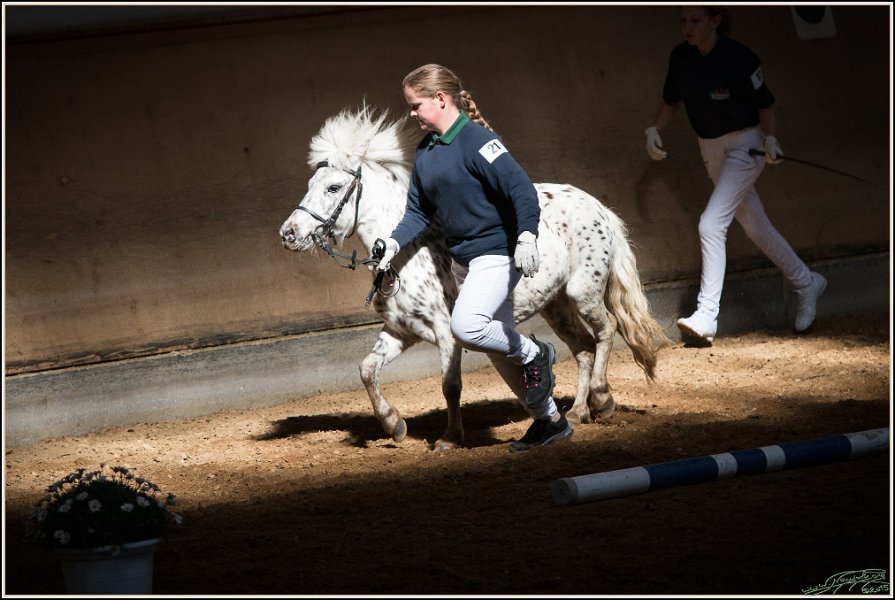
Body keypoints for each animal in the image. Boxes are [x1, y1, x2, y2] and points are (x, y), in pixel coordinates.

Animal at [279, 106, 669, 450]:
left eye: (333, 188)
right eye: (311, 183)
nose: (288, 233)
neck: (409, 252)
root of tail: (599, 207)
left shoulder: (446, 334)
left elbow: (450, 386)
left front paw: (450, 438)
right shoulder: (400, 332)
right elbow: (367, 370)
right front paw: (395, 425)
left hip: (582, 292)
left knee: (606, 331)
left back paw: (603, 400)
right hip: (555, 305)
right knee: (583, 348)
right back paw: (576, 412)